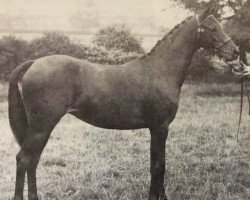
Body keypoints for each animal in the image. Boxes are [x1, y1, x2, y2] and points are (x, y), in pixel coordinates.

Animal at [8, 5, 238, 200]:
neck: (160, 70)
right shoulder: (160, 127)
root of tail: (34, 63)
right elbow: (159, 165)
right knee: (24, 159)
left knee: (32, 161)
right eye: (212, 28)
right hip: (42, 127)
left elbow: (157, 163)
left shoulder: (155, 128)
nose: (234, 51)